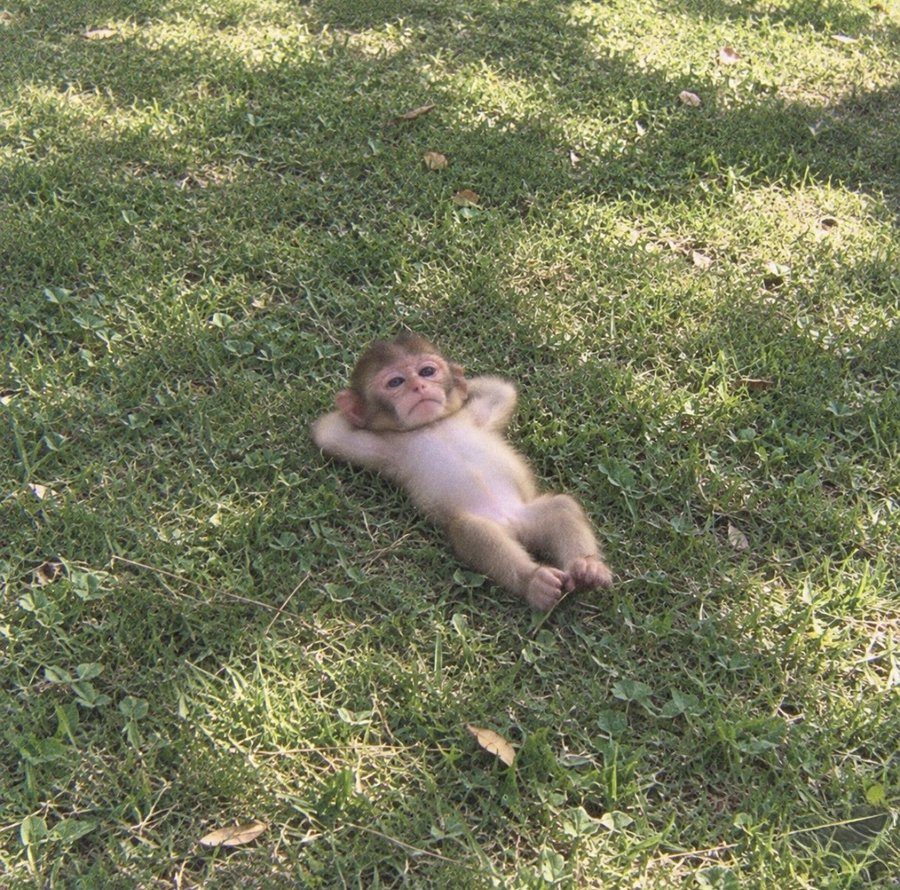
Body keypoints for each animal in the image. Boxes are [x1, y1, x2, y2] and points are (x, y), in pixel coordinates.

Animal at [311, 332, 612, 610]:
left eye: (427, 371)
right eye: (395, 382)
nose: (419, 386)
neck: (431, 424)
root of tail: (514, 525)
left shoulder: (475, 416)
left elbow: (502, 391)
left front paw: (458, 378)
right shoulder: (382, 447)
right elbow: (329, 433)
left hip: (530, 515)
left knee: (561, 507)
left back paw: (586, 569)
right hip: (486, 523)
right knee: (471, 531)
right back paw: (535, 582)